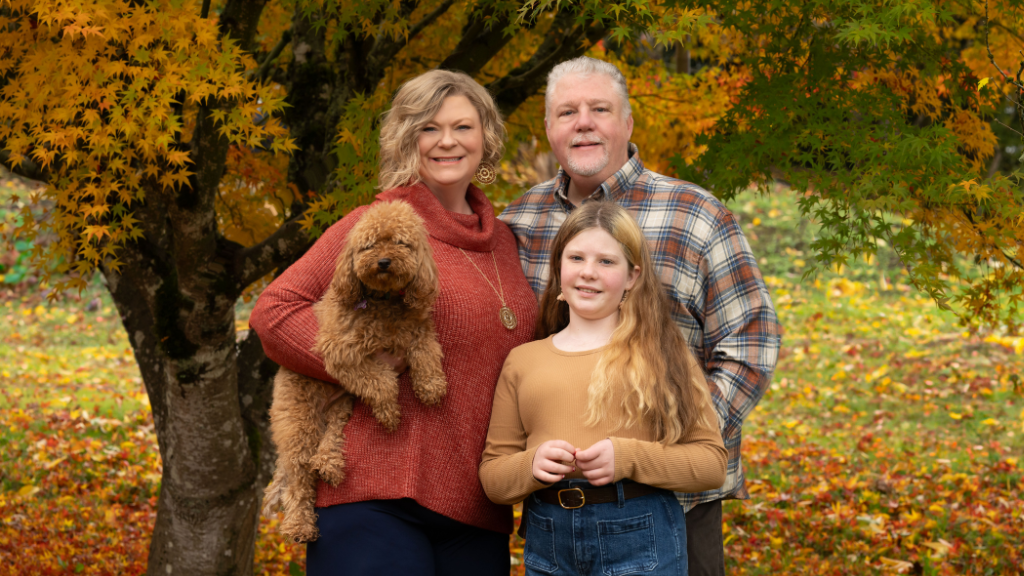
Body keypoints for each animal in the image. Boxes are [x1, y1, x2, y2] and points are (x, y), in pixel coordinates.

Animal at [268, 199, 448, 541]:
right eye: (370, 244)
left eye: (401, 243)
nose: (384, 261)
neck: (382, 301)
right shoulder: (340, 354)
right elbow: (382, 381)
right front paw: (390, 413)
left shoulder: (417, 328)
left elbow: (428, 351)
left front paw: (431, 386)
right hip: (299, 420)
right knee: (298, 478)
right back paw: (299, 525)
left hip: (340, 407)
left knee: (331, 438)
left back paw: (329, 463)